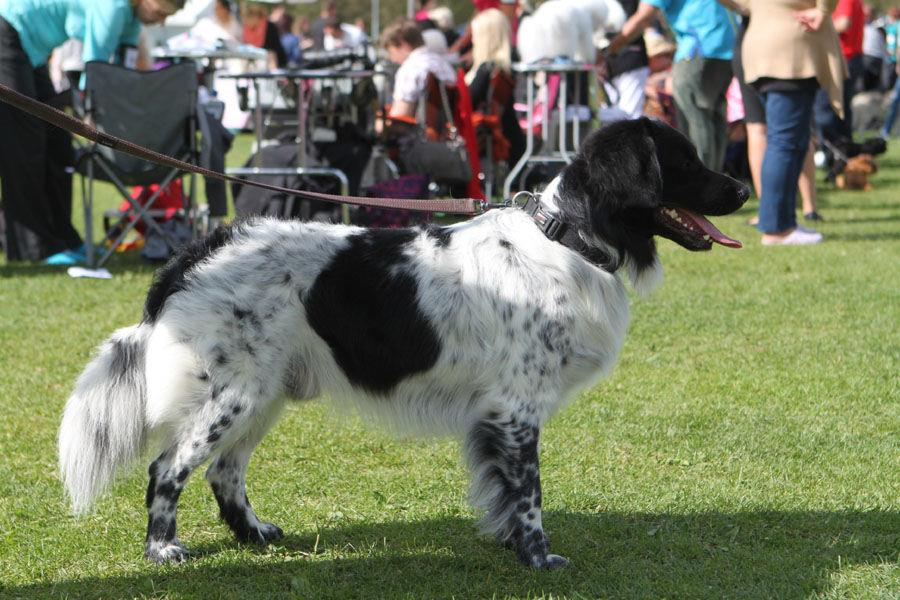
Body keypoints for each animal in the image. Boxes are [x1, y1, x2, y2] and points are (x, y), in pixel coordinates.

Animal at [59, 119, 748, 568]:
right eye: (685, 161)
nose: (743, 190)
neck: (565, 238)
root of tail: (198, 251)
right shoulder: (516, 411)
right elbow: (528, 496)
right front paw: (538, 558)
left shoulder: (499, 416)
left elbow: (504, 494)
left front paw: (510, 547)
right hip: (235, 393)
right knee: (168, 467)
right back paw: (162, 549)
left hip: (264, 392)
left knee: (225, 472)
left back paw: (253, 535)